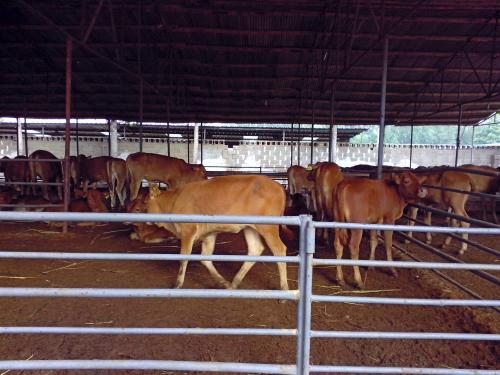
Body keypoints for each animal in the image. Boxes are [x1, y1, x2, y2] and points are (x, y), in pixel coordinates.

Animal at [146, 175, 290, 292]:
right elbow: (205, 258)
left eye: (145, 203)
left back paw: (284, 288)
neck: (174, 200)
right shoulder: (208, 234)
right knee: (255, 249)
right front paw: (222, 281)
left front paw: (178, 284)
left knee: (280, 250)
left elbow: (183, 258)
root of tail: (277, 185)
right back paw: (234, 283)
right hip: (250, 228)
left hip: (268, 228)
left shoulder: (188, 230)